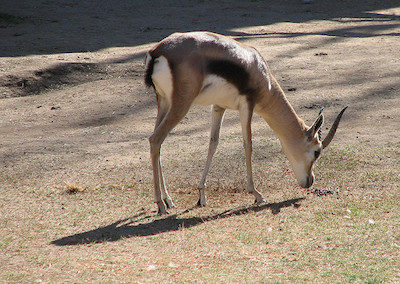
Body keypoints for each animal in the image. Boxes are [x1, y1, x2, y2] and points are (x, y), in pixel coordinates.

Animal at [145, 31, 346, 214]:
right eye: (317, 152)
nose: (310, 181)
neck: (259, 69)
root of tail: (157, 51)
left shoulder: (219, 106)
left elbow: (213, 143)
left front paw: (201, 195)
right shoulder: (247, 105)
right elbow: (248, 145)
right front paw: (256, 194)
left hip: (164, 102)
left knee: (157, 142)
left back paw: (168, 200)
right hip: (181, 104)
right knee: (155, 139)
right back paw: (160, 205)